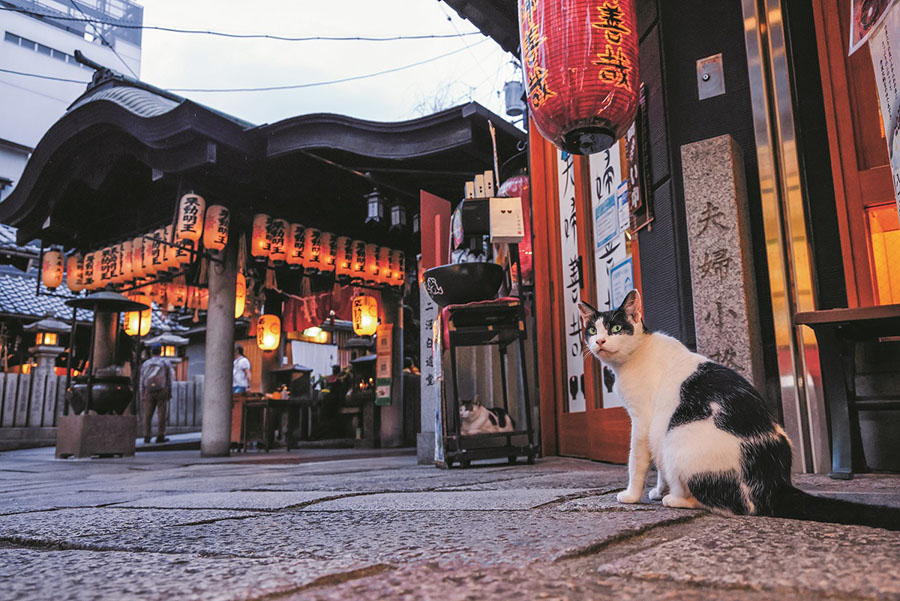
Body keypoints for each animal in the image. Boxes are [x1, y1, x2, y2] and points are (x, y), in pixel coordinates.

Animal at [580, 290, 896, 528]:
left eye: (616, 328)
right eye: (592, 329)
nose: (600, 341)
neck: (634, 357)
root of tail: (775, 482)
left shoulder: (643, 421)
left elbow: (638, 461)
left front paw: (633, 495)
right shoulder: (654, 429)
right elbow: (656, 465)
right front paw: (657, 490)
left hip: (678, 440)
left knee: (730, 504)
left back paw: (676, 499)